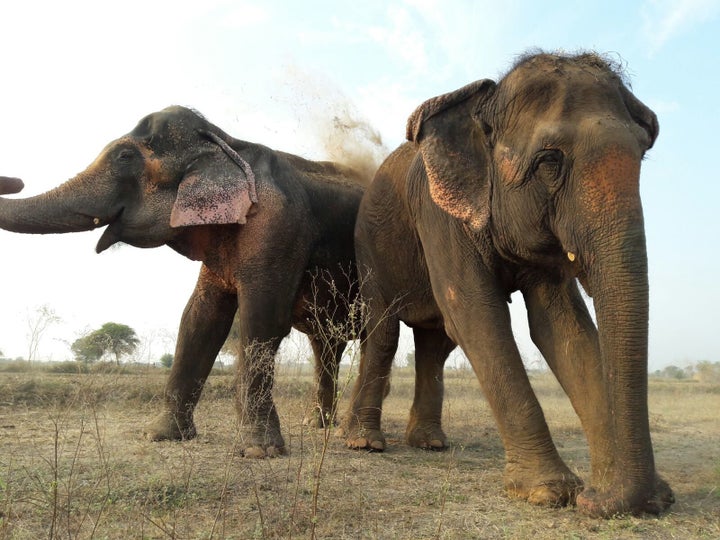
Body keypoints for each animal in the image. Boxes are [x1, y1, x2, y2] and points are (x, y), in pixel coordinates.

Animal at [0, 106, 368, 460]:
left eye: (124, 157)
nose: (17, 180)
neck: (227, 144)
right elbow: (199, 319)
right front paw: (160, 436)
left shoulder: (278, 226)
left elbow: (262, 318)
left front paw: (260, 452)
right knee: (327, 346)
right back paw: (318, 424)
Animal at [338, 52, 676, 516]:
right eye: (550, 160)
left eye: (642, 155)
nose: (596, 500)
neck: (486, 103)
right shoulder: (440, 214)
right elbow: (477, 315)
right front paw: (550, 493)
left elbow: (563, 330)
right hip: (369, 248)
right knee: (386, 330)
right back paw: (365, 443)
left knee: (433, 343)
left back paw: (429, 443)